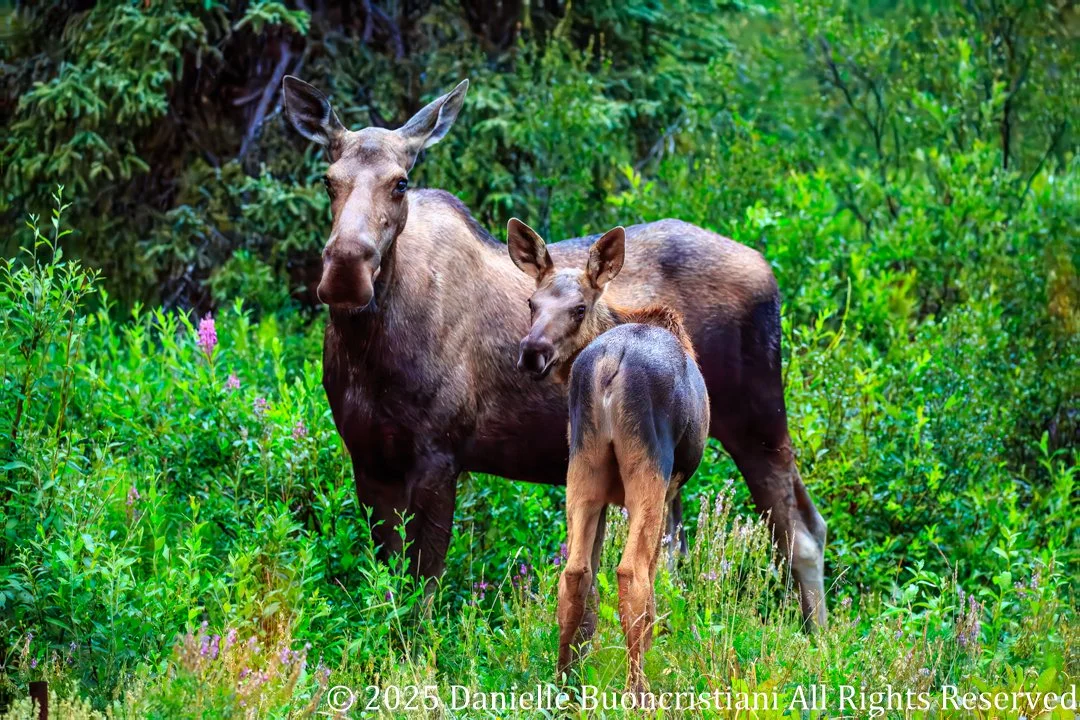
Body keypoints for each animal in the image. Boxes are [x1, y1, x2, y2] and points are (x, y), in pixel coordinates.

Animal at [280, 75, 828, 628]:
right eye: (328, 180)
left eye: (400, 182)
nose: (345, 270)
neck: (369, 348)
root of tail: (768, 270)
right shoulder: (368, 459)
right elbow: (386, 587)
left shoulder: (439, 454)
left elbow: (424, 593)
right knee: (703, 543)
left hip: (756, 418)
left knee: (798, 531)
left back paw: (818, 638)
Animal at [507, 218, 710, 694]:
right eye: (532, 302)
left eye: (579, 307)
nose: (532, 352)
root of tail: (613, 363)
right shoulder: (672, 489)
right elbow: (659, 577)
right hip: (648, 469)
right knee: (632, 574)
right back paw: (639, 692)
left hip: (582, 466)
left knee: (574, 575)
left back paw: (565, 686)